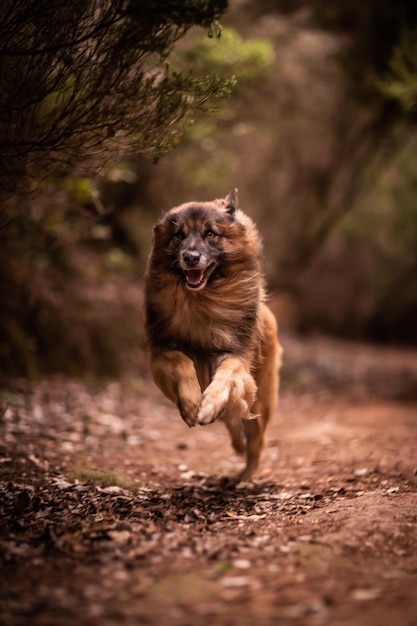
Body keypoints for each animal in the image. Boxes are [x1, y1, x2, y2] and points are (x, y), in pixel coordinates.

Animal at [144, 188, 282, 480]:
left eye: (210, 234)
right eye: (179, 235)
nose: (191, 257)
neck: (203, 299)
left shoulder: (235, 354)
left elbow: (226, 376)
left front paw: (208, 403)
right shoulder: (162, 348)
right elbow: (181, 361)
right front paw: (191, 404)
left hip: (260, 402)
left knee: (255, 440)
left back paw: (246, 478)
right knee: (233, 425)